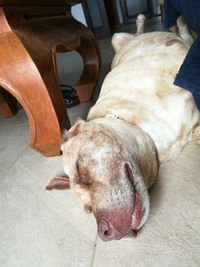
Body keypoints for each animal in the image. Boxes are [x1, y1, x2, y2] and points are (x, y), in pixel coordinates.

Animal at [45, 15, 200, 243]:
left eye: (81, 173)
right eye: (88, 209)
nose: (105, 233)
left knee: (182, 36)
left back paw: (172, 24)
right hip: (119, 39)